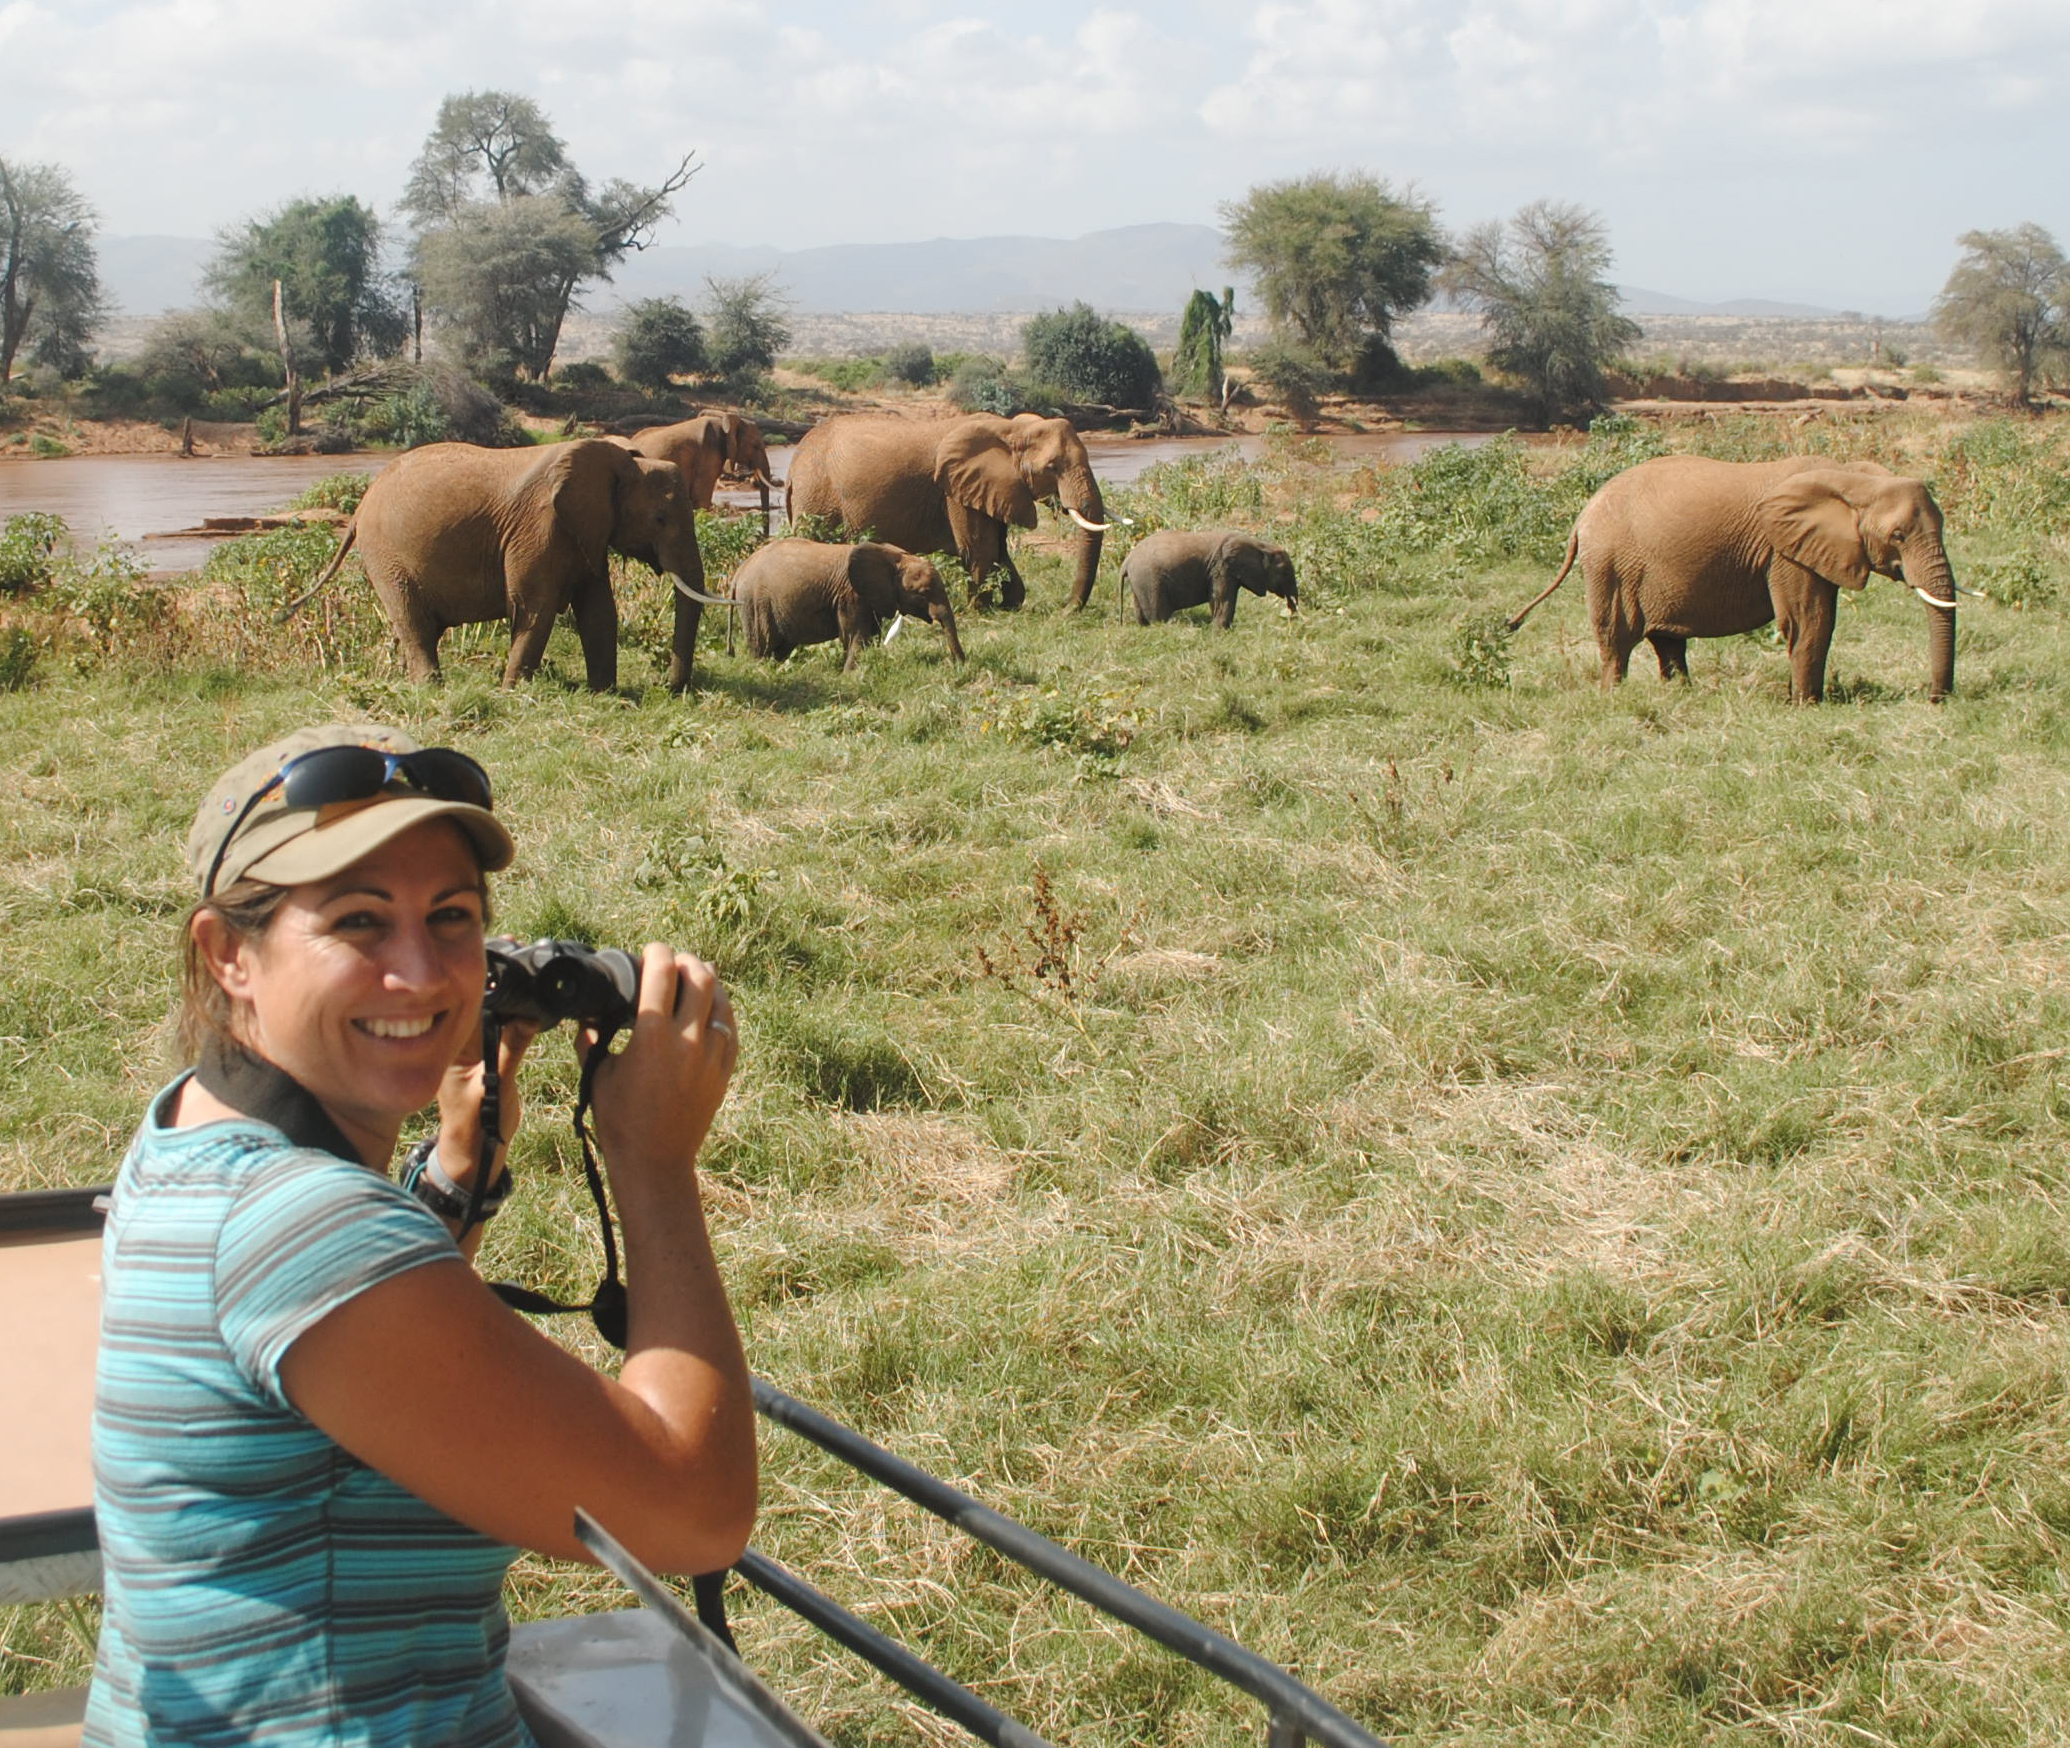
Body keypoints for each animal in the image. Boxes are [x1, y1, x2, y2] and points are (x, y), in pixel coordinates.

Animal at [288, 439, 711, 691]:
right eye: (659, 519)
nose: (669, 688)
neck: (623, 461)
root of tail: (361, 506)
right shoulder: (537, 529)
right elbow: (534, 608)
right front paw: (514, 693)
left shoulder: (584, 530)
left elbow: (598, 610)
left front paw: (605, 694)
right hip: (385, 555)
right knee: (411, 619)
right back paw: (430, 689)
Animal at [730, 539, 966, 668]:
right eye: (923, 593)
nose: (960, 664)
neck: (896, 557)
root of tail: (738, 573)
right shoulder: (851, 595)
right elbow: (856, 636)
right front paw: (850, 675)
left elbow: (871, 635)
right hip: (755, 602)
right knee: (763, 645)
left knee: (781, 648)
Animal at [784, 411, 1116, 610]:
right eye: (1052, 467)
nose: (1066, 611)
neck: (1012, 428)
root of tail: (792, 467)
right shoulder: (955, 493)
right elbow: (981, 550)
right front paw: (982, 611)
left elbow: (999, 551)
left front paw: (1010, 605)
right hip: (817, 497)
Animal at [1122, 529, 1299, 628]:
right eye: (1285, 573)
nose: (1291, 618)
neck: (1260, 545)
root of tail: (1127, 561)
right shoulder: (1221, 567)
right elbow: (1223, 600)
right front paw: (1220, 631)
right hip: (1150, 580)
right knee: (1159, 615)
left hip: (1140, 581)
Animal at [1507, 455, 1960, 701]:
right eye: (1898, 536)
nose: (1936, 699)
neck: (1851, 475)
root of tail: (1582, 517)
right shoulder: (1784, 551)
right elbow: (1809, 622)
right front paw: (1807, 707)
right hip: (1611, 565)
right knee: (1618, 640)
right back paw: (1614, 698)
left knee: (1667, 642)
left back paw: (1680, 695)